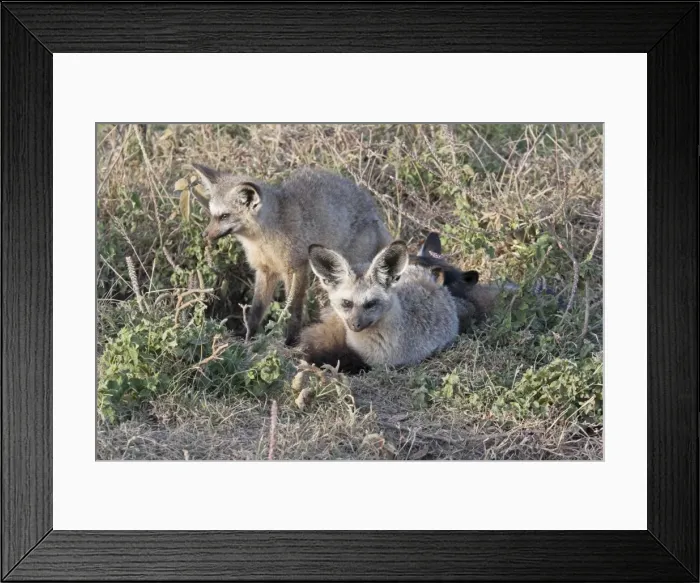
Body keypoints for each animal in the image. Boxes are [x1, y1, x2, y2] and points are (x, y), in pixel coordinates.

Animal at [191, 164, 392, 346]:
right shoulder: (265, 271)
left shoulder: (297, 269)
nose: (204, 235)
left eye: (224, 216)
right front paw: (248, 337)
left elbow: (293, 310)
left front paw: (290, 340)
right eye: (212, 215)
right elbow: (256, 310)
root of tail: (375, 214)